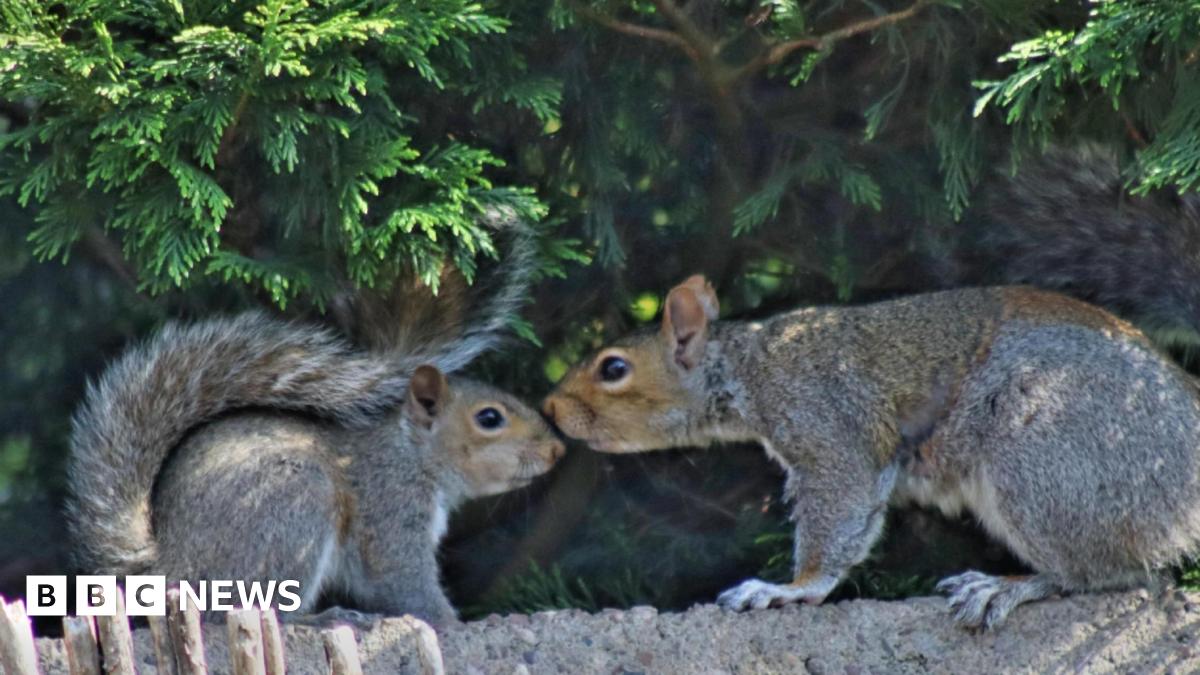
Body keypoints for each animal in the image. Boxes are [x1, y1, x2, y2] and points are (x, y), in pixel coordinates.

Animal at [66, 220, 565, 625]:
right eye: (489, 418)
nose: (556, 449)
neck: (410, 452)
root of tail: (170, 569)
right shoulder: (390, 506)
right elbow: (403, 579)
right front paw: (452, 622)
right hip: (293, 507)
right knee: (255, 612)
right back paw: (324, 618)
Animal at [543, 148, 1200, 630]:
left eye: (613, 368)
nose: (550, 406)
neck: (750, 366)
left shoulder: (827, 424)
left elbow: (842, 509)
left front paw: (790, 589)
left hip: (1045, 461)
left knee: (1110, 575)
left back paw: (1005, 585)